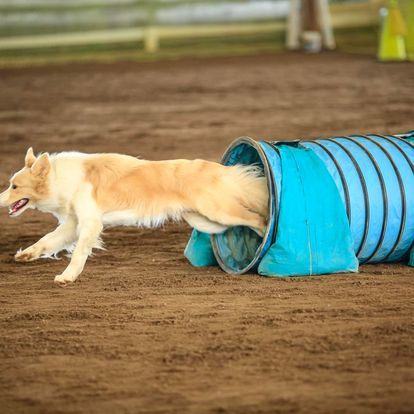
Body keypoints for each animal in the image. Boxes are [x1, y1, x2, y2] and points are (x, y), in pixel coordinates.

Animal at [0, 148, 268, 285]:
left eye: (14, 186)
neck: (60, 178)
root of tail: (222, 171)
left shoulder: (90, 223)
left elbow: (78, 254)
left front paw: (67, 276)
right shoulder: (73, 223)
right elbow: (48, 240)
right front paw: (26, 255)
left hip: (219, 212)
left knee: (258, 219)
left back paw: (268, 239)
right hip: (207, 222)